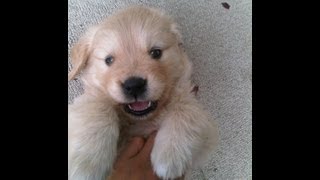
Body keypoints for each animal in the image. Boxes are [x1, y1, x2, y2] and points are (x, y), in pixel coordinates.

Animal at [68, 5, 216, 180]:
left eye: (156, 52)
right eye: (109, 60)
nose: (134, 86)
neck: (138, 121)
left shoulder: (205, 134)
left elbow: (186, 108)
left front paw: (170, 156)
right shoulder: (90, 100)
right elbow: (97, 107)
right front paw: (87, 164)